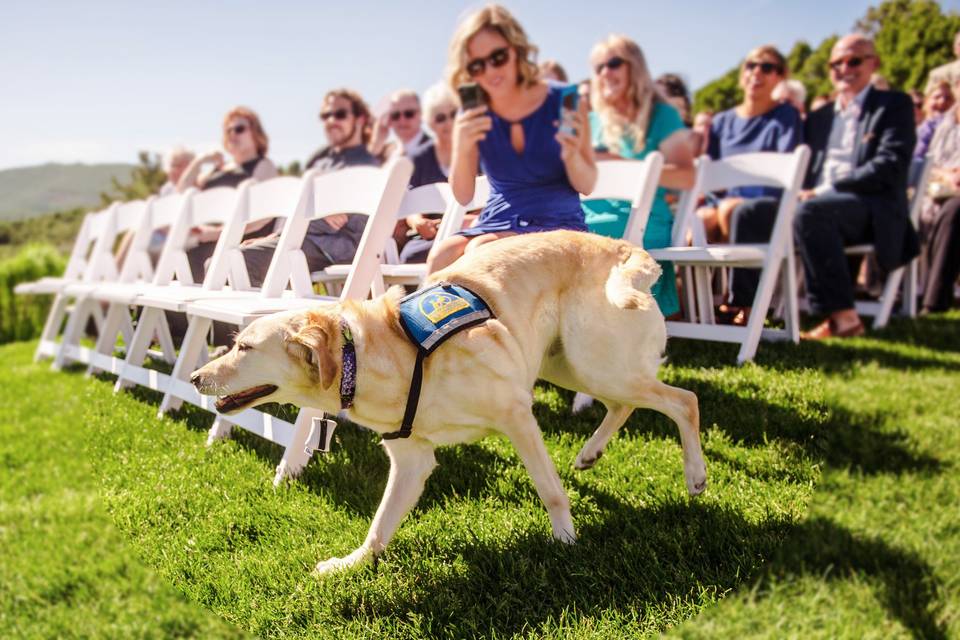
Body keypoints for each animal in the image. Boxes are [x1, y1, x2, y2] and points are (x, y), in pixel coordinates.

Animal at [193, 230, 704, 576]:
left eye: (244, 347)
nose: (196, 377)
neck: (378, 353)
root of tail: (619, 246)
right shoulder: (411, 461)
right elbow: (379, 526)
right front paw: (351, 564)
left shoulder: (517, 415)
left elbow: (551, 491)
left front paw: (566, 542)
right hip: (570, 364)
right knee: (626, 405)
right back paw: (590, 453)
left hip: (595, 362)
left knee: (684, 400)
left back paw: (695, 475)